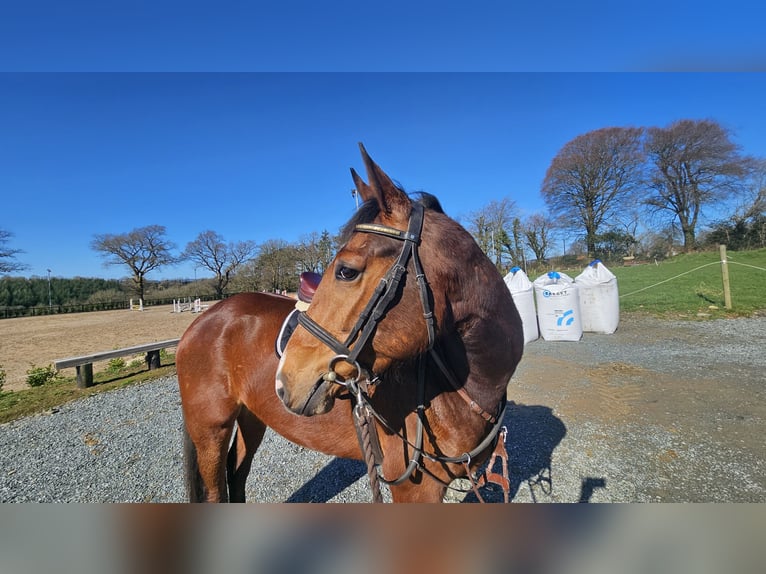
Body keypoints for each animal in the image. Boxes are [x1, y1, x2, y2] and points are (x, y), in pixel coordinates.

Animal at [177, 144, 524, 502]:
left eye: (346, 271)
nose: (285, 381)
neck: (468, 387)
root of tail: (207, 317)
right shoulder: (415, 488)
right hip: (210, 429)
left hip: (251, 417)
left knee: (238, 474)